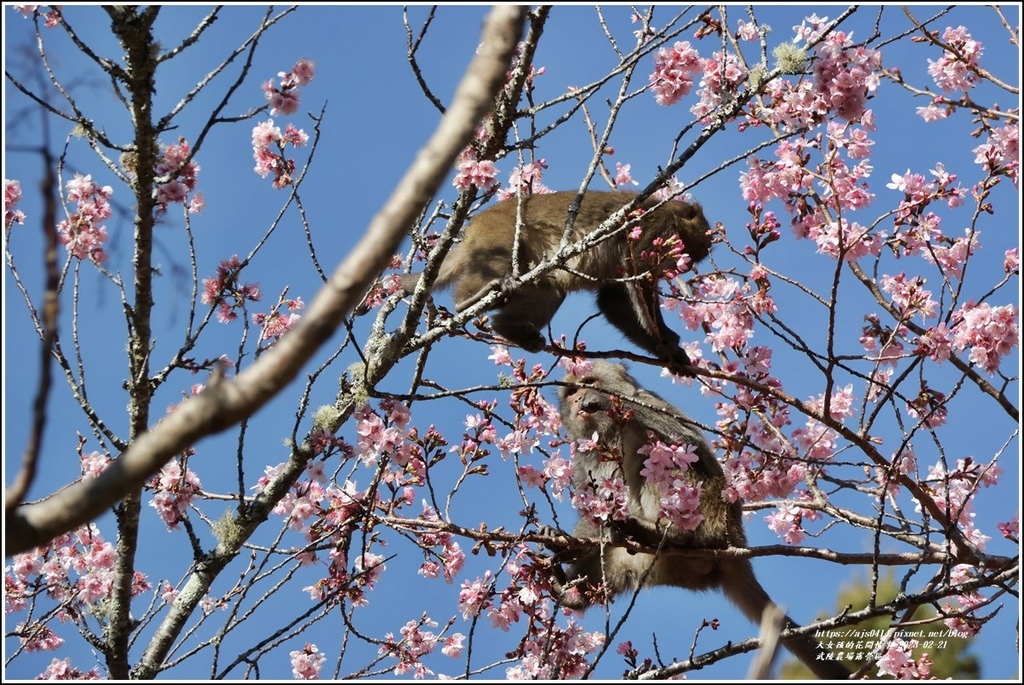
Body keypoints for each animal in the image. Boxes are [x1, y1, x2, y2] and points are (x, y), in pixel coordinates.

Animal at [380, 189, 708, 376]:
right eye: (679, 251)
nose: (671, 269)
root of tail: (475, 224)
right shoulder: (652, 228)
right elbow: (634, 279)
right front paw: (667, 341)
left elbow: (613, 301)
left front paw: (670, 351)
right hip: (496, 234)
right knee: (500, 261)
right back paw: (470, 300)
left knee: (551, 291)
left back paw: (508, 328)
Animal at [548, 360, 851, 679]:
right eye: (570, 392)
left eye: (588, 382)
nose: (581, 400)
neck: (608, 435)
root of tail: (733, 541)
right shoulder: (585, 456)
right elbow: (592, 509)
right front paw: (566, 544)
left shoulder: (652, 405)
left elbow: (685, 442)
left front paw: (605, 402)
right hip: (664, 567)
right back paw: (577, 592)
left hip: (712, 510)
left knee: (658, 458)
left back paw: (674, 535)